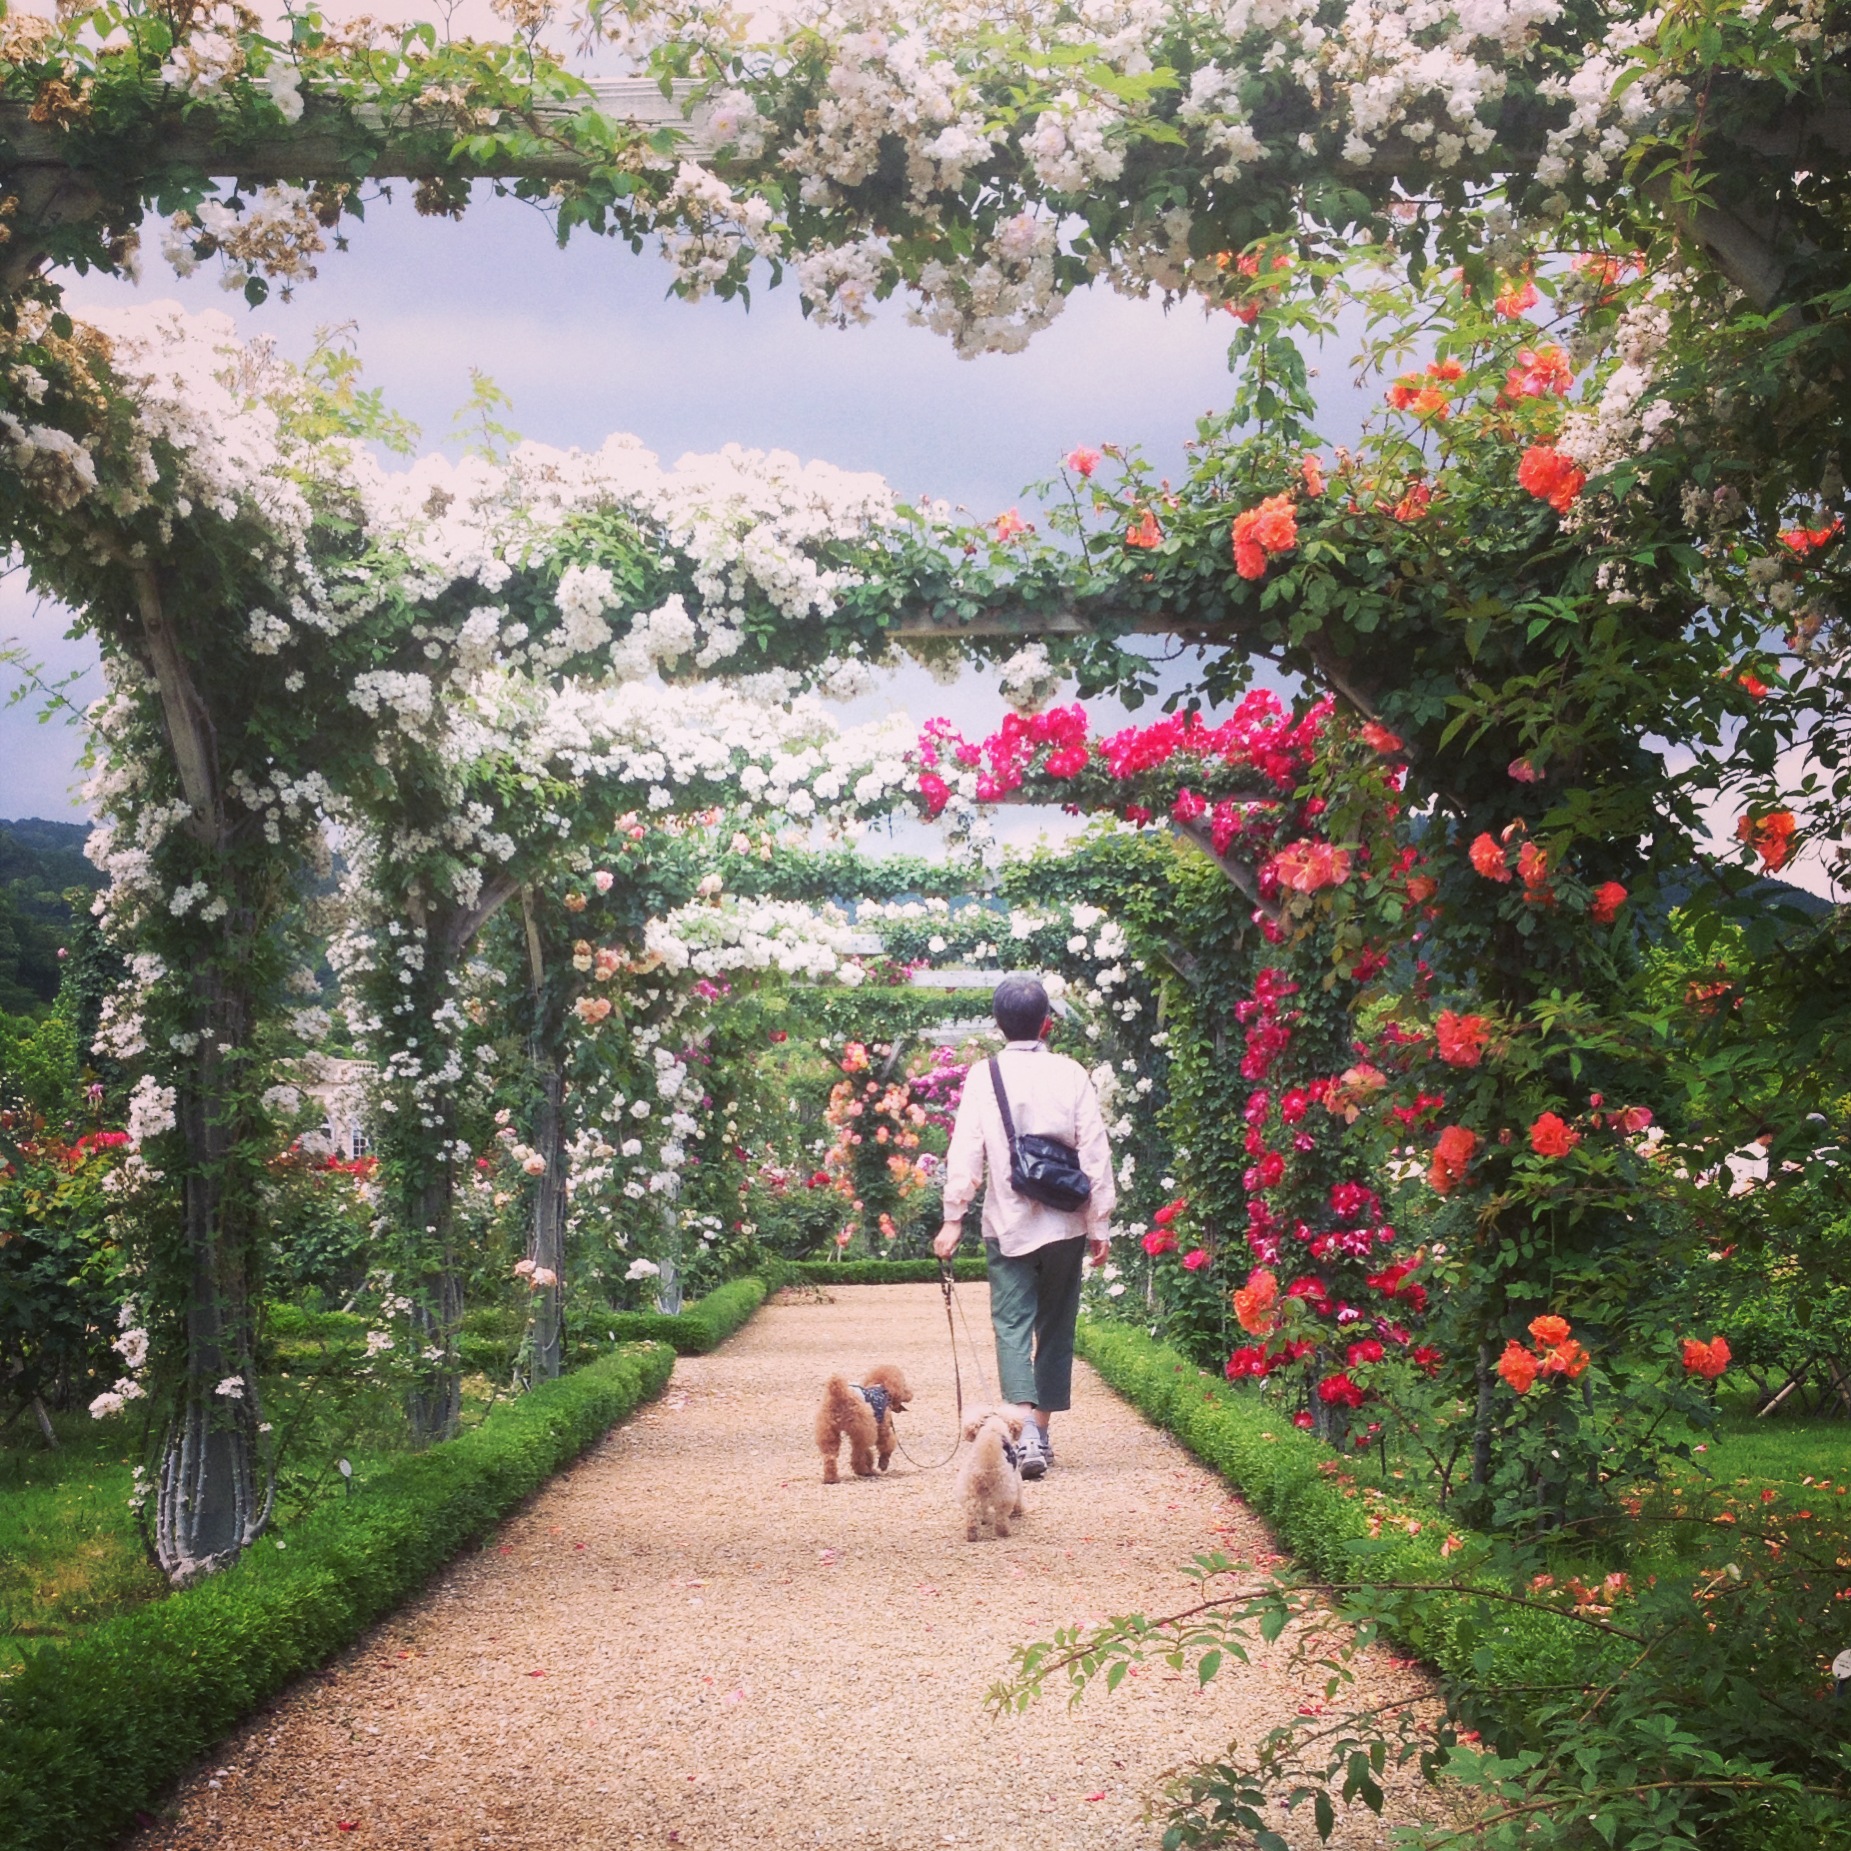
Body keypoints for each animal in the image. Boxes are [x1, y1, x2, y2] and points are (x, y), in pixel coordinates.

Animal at [956, 1404, 1028, 1540]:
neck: (993, 1428)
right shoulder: (1016, 1478)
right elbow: (1019, 1497)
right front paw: (1019, 1510)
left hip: (969, 1491)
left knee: (972, 1512)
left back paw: (972, 1533)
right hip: (1004, 1491)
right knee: (1001, 1516)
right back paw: (1003, 1532)